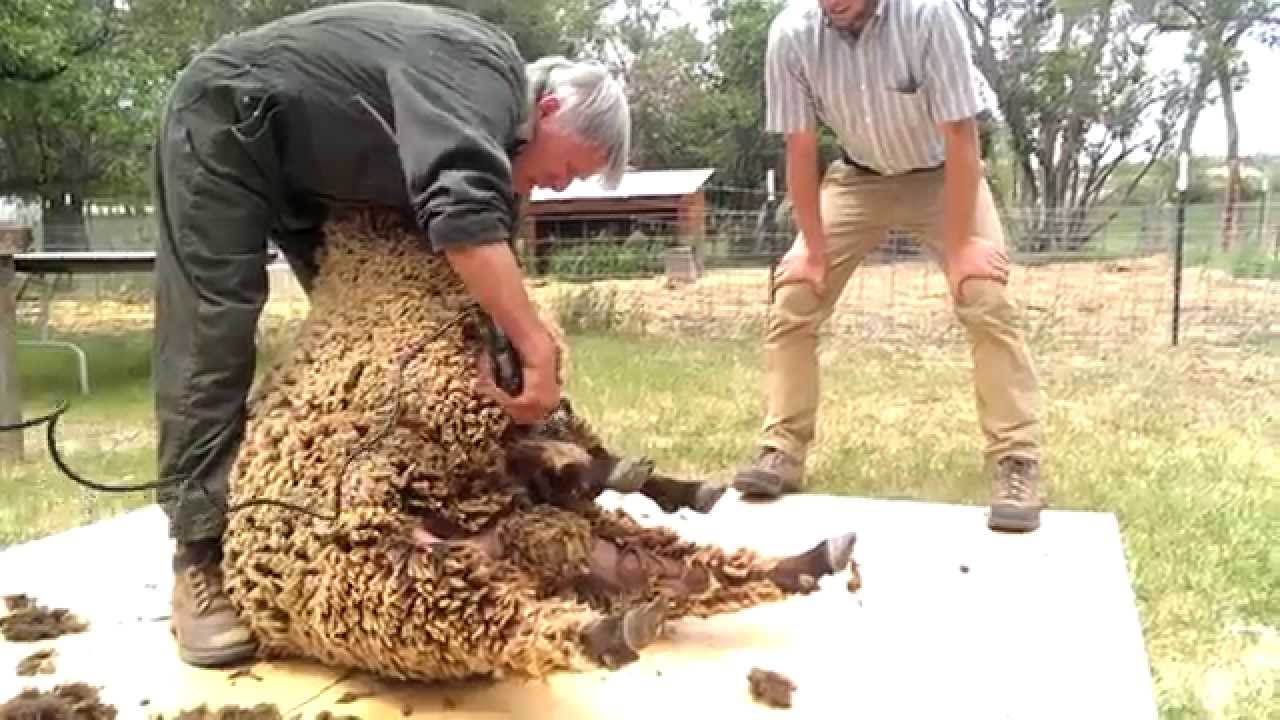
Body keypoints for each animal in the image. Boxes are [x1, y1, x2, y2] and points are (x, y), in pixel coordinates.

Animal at [220, 208, 857, 681]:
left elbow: (560, 442)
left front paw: (643, 476)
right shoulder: (456, 406)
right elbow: (543, 441)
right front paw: (609, 468)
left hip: (541, 561)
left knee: (686, 572)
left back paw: (811, 556)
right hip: (397, 591)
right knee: (531, 621)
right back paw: (618, 623)